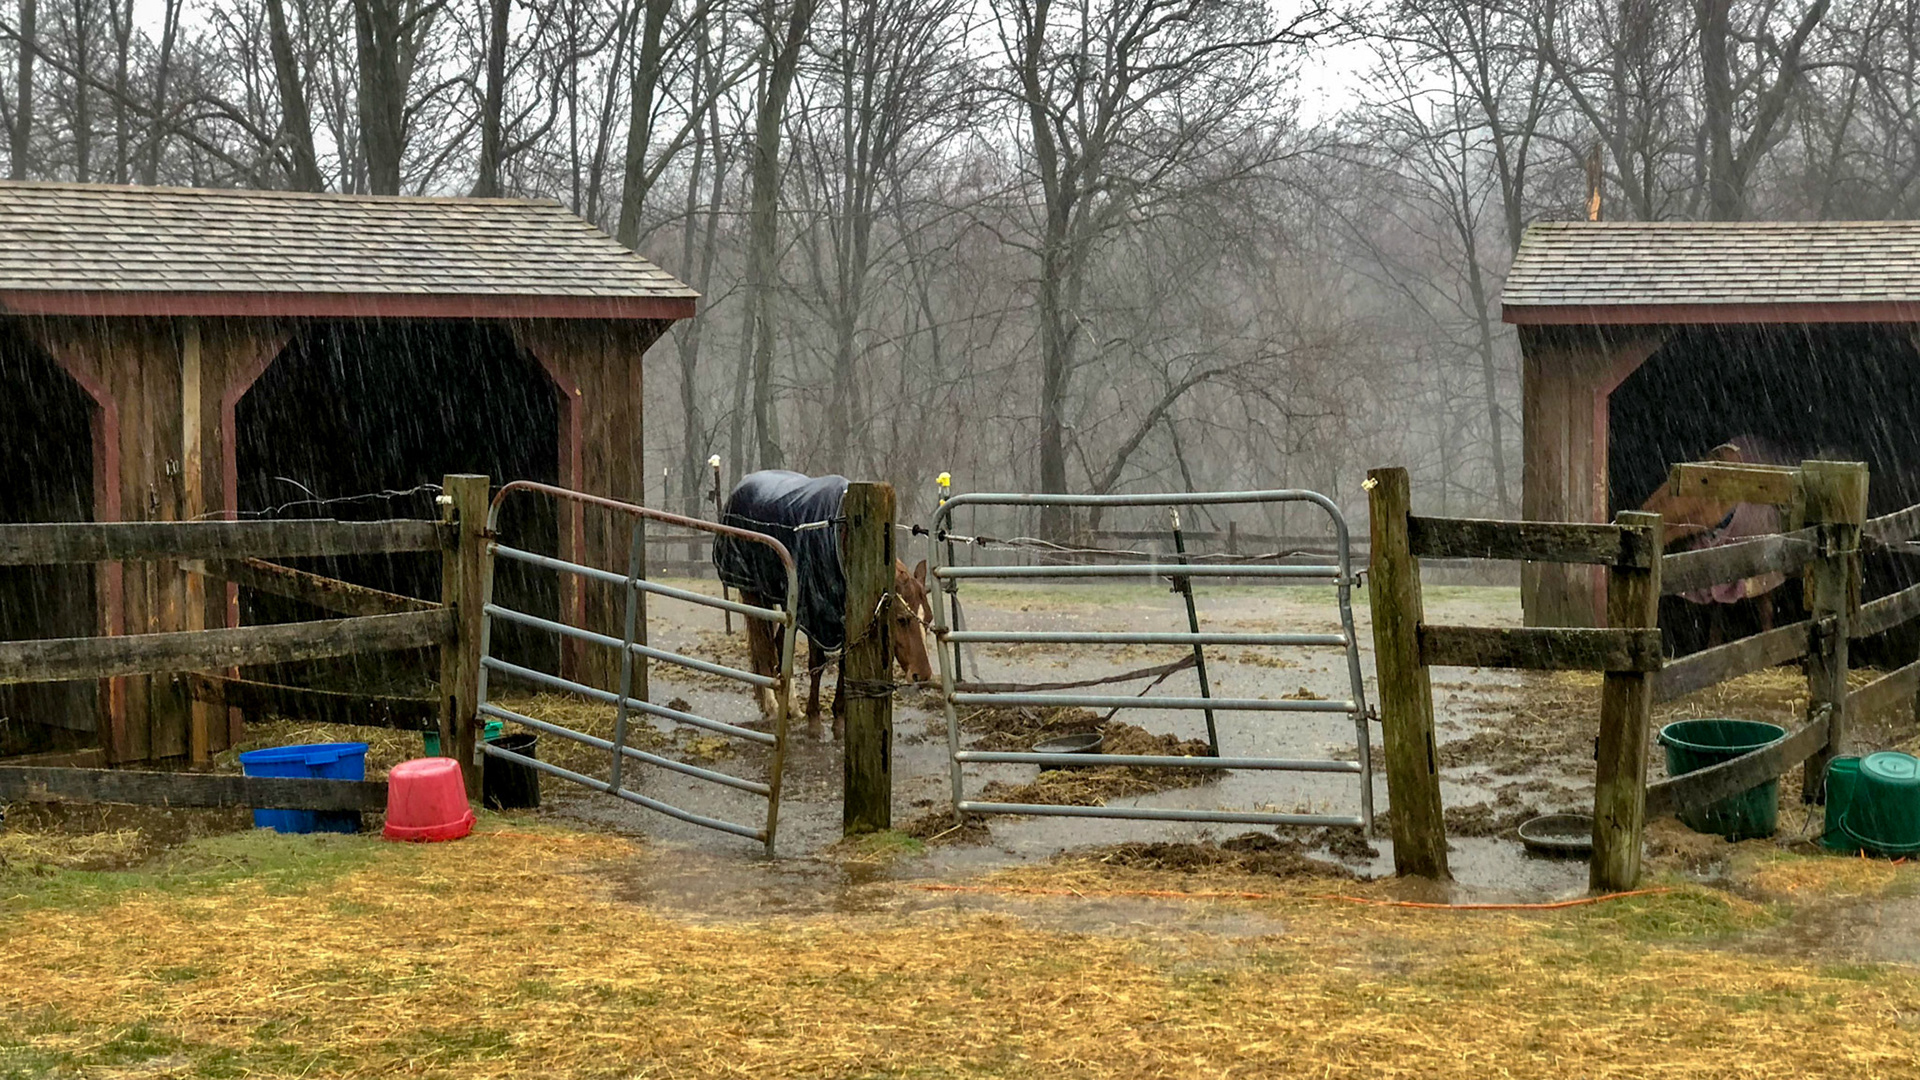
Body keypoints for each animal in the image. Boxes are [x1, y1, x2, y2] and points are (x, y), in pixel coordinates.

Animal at [711, 470, 934, 738]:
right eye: (901, 619)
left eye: (929, 620)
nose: (923, 676)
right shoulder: (815, 617)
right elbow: (816, 664)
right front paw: (814, 721)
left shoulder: (843, 621)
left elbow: (843, 666)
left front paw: (838, 720)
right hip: (755, 594)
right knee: (763, 647)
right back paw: (772, 706)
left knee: (778, 644)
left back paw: (790, 706)